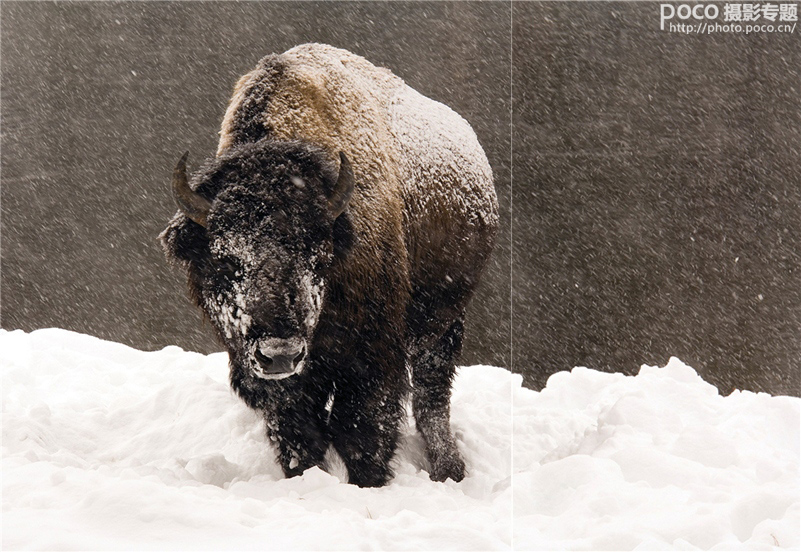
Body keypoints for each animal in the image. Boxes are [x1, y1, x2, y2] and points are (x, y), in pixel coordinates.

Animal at [162, 46, 496, 488]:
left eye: (317, 255)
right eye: (224, 259)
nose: (279, 354)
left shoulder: (372, 353)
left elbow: (360, 427)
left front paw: (369, 482)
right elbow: (299, 431)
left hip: (444, 319)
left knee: (431, 395)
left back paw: (449, 470)